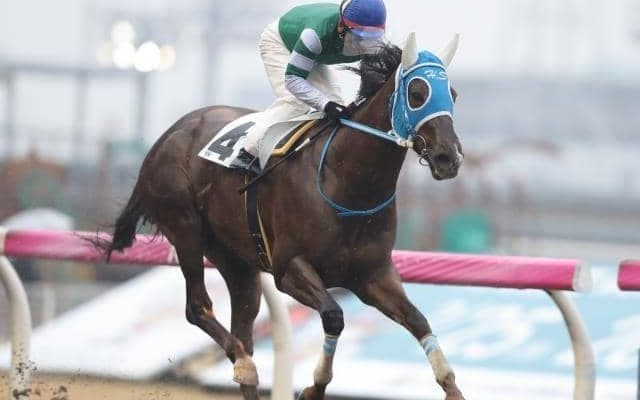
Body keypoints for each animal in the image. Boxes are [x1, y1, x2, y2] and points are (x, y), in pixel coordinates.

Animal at [101, 33, 465, 400]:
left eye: (453, 94)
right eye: (417, 93)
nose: (448, 157)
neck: (345, 180)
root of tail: (168, 135)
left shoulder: (373, 275)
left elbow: (418, 321)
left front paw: (452, 389)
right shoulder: (289, 268)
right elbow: (334, 315)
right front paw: (313, 388)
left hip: (235, 259)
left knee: (242, 327)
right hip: (185, 228)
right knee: (199, 309)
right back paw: (243, 362)